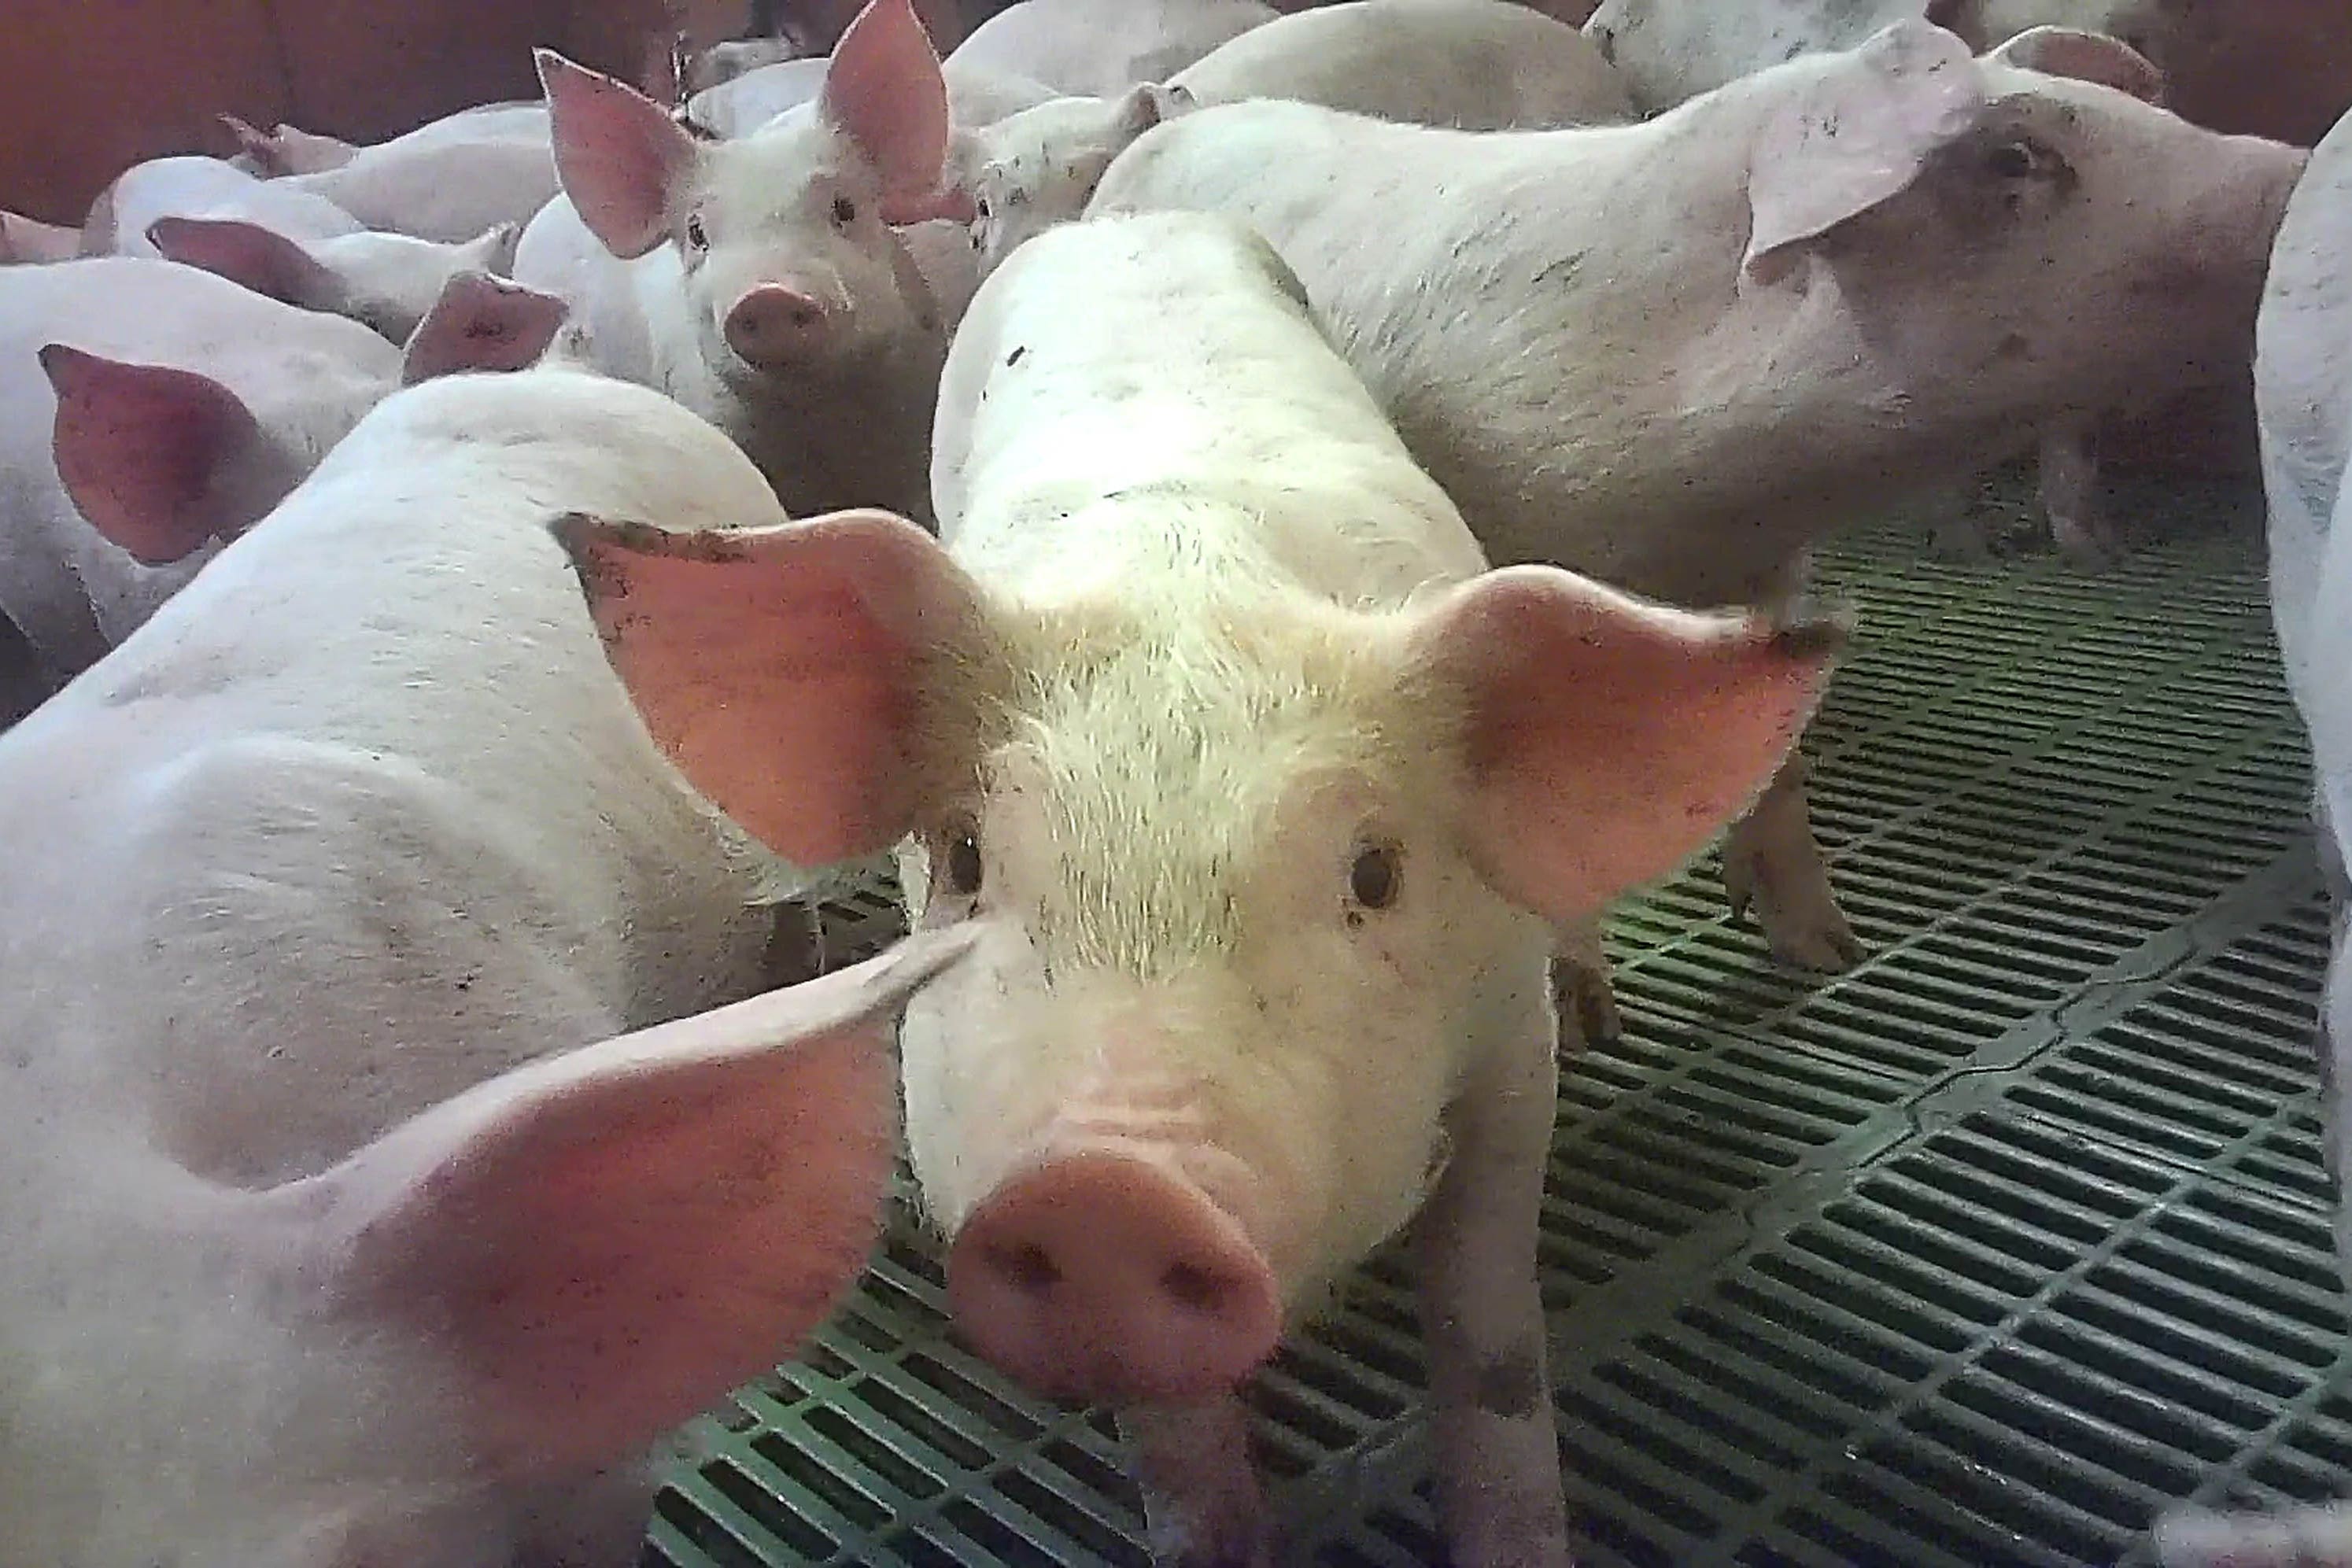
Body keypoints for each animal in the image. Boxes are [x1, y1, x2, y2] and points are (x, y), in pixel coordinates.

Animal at [556, 207, 1842, 1568]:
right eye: (964, 860)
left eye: (1374, 873)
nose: (1103, 1192)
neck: (1191, 575)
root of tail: (1108, 220)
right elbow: (1175, 1442)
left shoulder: (1510, 1062)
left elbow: (1490, 1349)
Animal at [1087, 21, 2306, 974]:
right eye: (2016, 156)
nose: (2299, 171)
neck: (1712, 504)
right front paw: (1591, 1017)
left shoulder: (1766, 569)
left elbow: (1777, 766)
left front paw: (1829, 952)